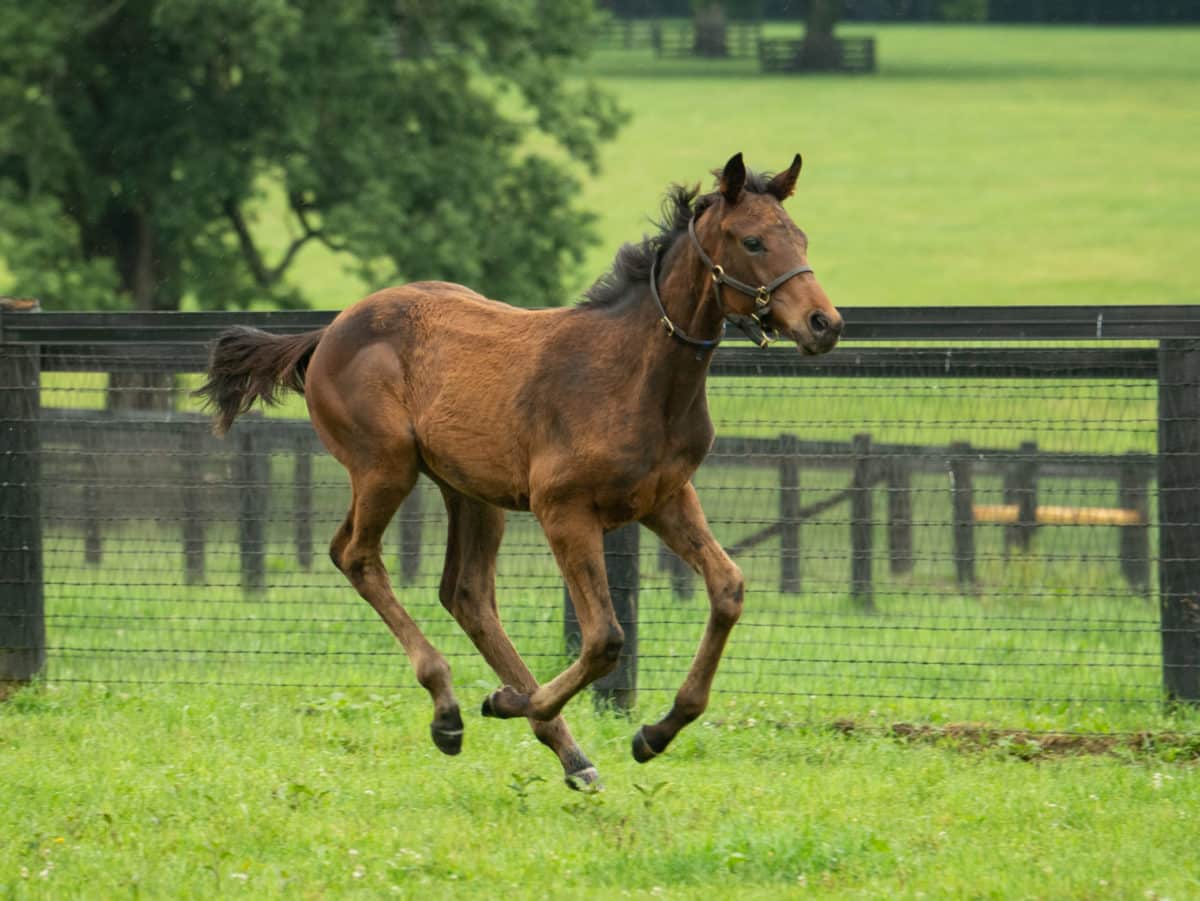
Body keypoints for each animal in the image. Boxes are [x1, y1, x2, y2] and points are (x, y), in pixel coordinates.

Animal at [199, 151, 844, 787]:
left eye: (801, 237)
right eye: (753, 241)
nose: (825, 324)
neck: (637, 376)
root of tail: (328, 331)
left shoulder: (665, 498)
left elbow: (727, 589)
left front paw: (654, 734)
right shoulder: (564, 510)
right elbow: (605, 638)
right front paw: (509, 702)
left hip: (469, 491)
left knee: (464, 591)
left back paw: (570, 754)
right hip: (385, 467)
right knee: (356, 554)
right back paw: (452, 711)